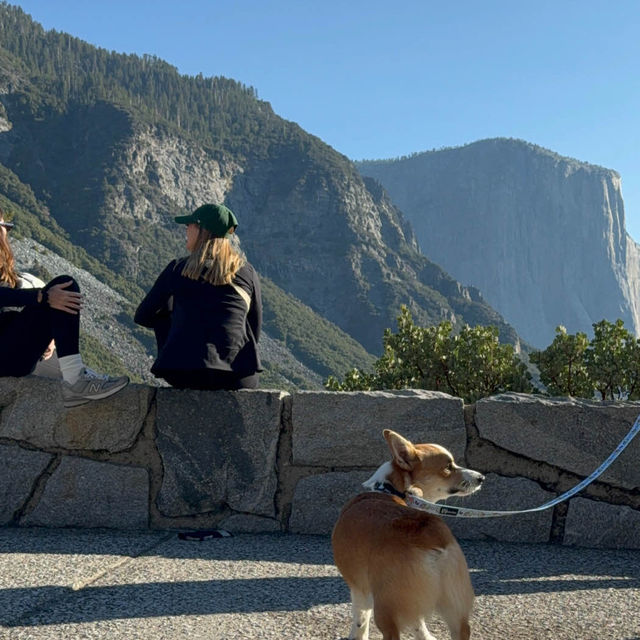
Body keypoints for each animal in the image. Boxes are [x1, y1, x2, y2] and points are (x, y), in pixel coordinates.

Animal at [330, 430, 484, 640]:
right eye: (448, 467)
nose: (481, 477)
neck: (389, 489)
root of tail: (428, 534)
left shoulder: (359, 588)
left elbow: (360, 619)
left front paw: (356, 635)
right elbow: (419, 626)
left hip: (386, 608)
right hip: (454, 604)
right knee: (460, 629)